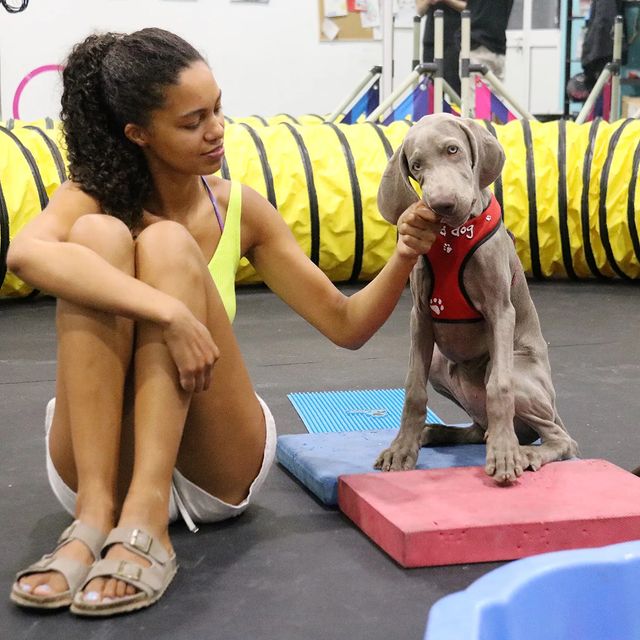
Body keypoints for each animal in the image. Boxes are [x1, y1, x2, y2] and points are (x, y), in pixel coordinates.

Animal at [372, 116, 576, 484]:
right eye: (416, 166)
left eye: (453, 149)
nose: (443, 205)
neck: (453, 238)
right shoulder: (420, 316)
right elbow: (413, 390)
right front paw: (402, 447)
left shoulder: (500, 311)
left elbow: (499, 389)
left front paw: (505, 455)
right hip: (440, 365)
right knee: (479, 430)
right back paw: (435, 432)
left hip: (521, 378)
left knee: (561, 438)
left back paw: (523, 451)